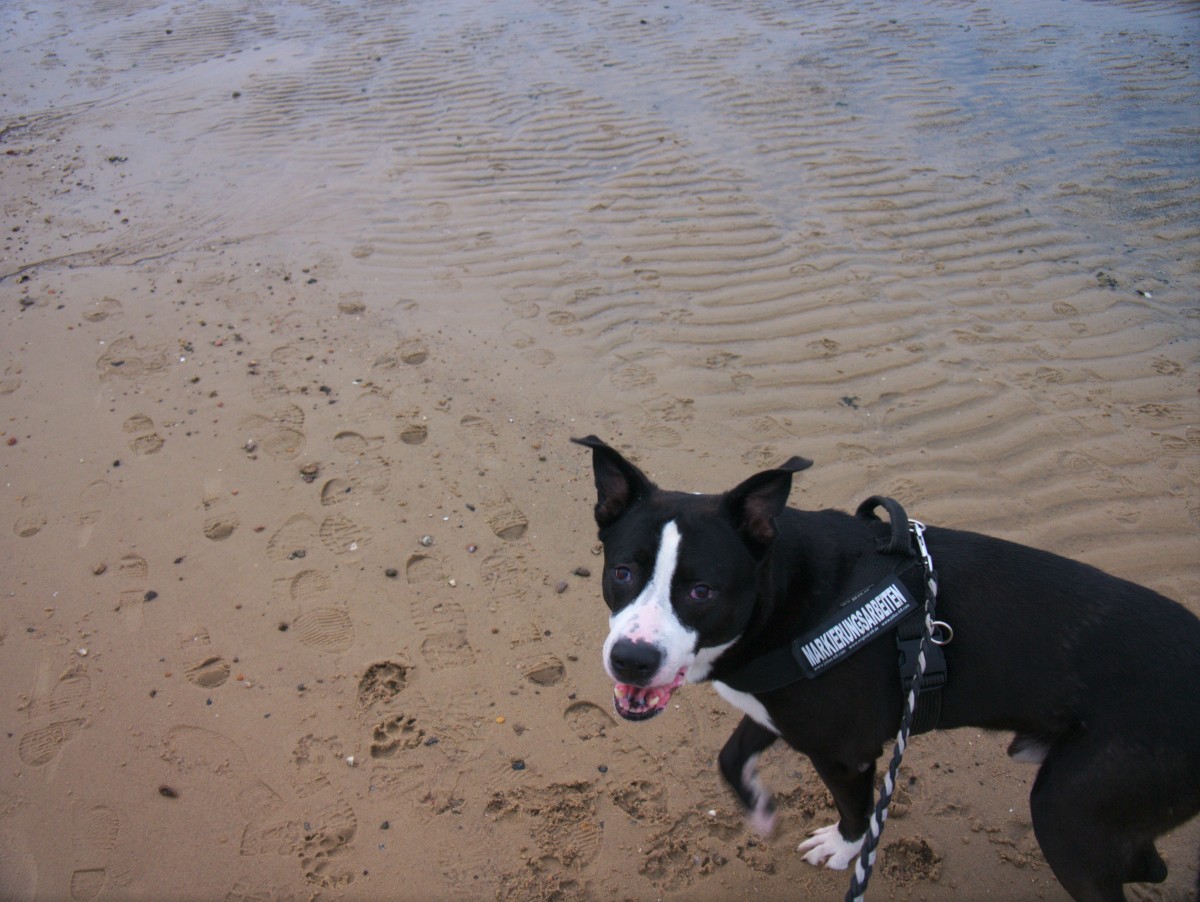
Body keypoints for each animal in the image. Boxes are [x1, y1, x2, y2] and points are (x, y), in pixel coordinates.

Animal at [571, 434, 1200, 897]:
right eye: (622, 573)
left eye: (701, 591)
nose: (631, 659)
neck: (785, 593)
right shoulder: (780, 707)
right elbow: (730, 758)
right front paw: (760, 808)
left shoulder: (842, 750)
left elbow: (856, 812)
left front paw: (842, 848)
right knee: (1148, 861)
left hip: (1068, 813)